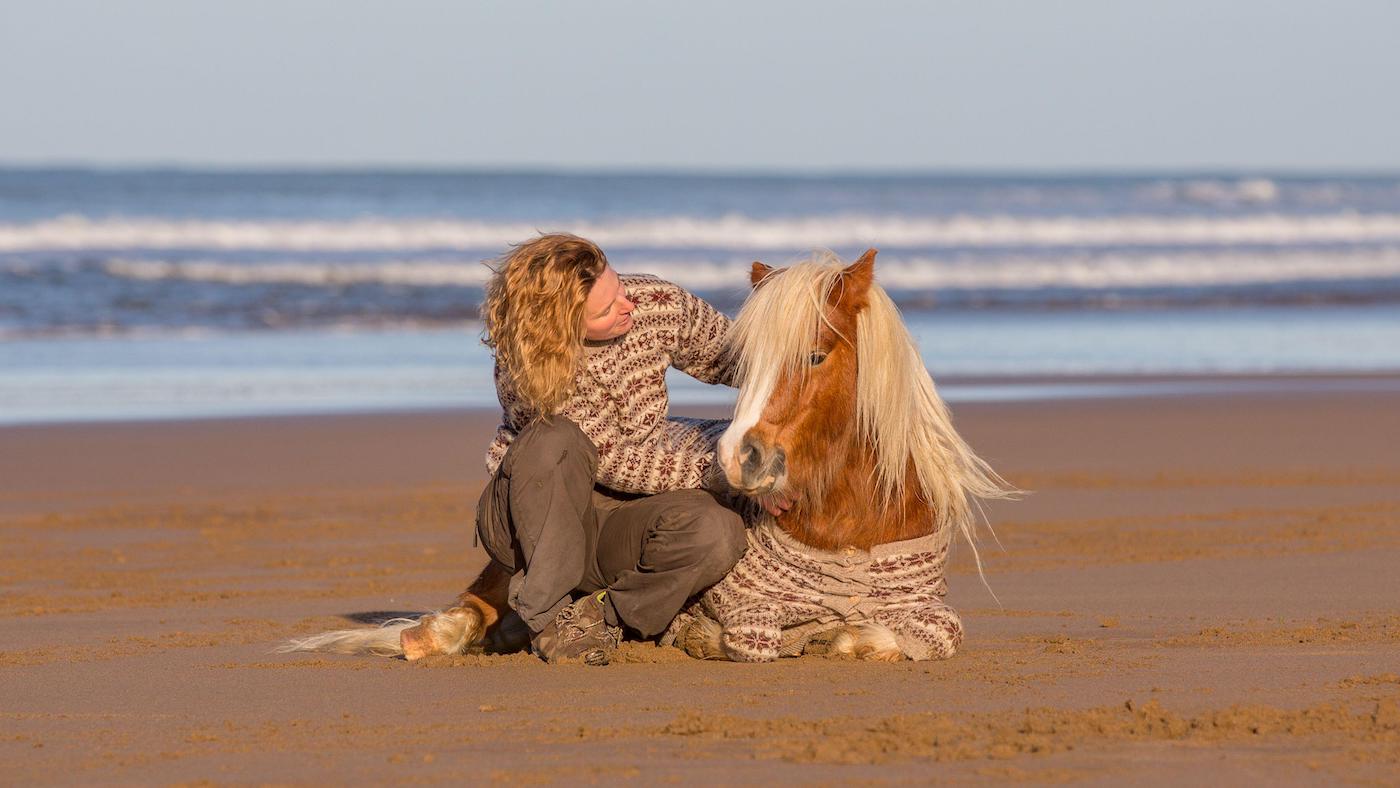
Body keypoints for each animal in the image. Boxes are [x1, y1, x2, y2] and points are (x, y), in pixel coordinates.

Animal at [280, 249, 1013, 662]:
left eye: (814, 355)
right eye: (747, 360)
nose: (741, 459)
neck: (851, 527)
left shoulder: (930, 611)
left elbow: (923, 636)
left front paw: (849, 637)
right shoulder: (748, 614)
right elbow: (757, 642)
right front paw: (703, 637)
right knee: (472, 607)